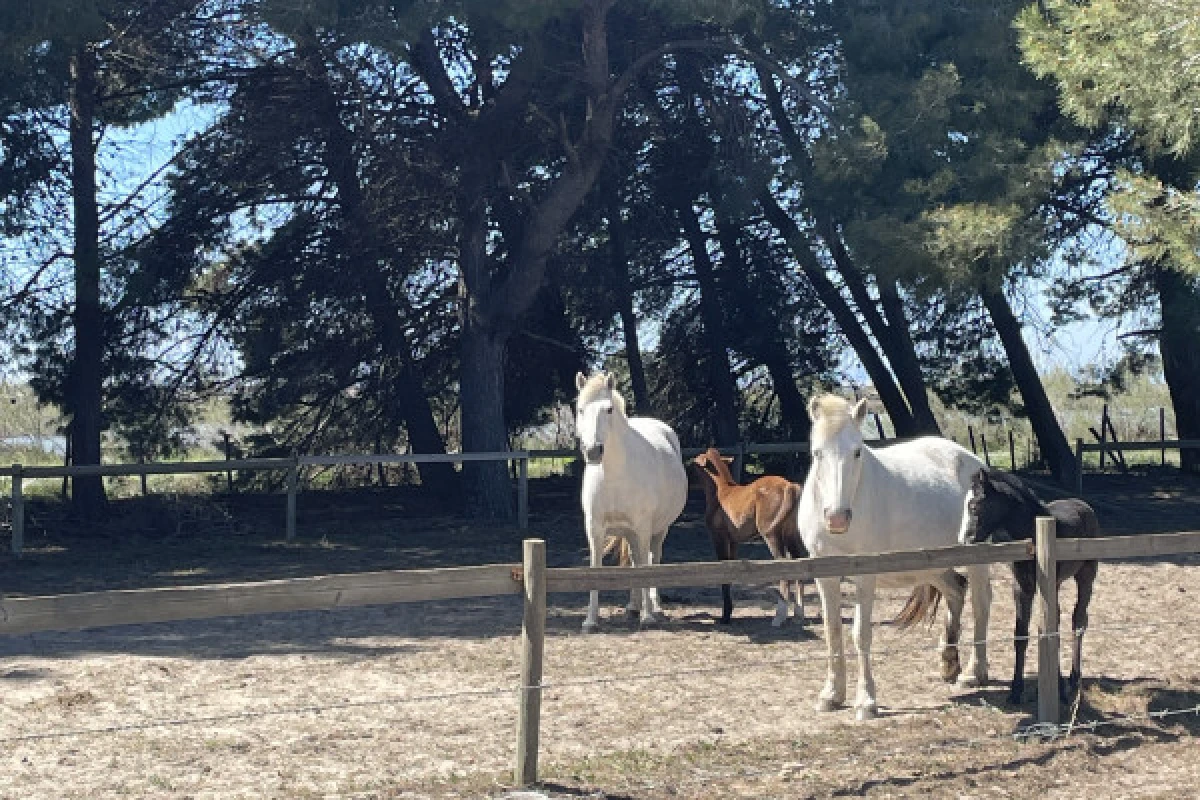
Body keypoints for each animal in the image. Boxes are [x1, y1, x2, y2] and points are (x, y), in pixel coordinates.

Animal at [576, 371, 691, 633]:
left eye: (608, 409)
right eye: (580, 409)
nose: (593, 451)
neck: (615, 474)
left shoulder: (643, 526)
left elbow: (645, 568)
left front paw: (647, 617)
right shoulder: (594, 528)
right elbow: (597, 569)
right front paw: (590, 620)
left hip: (658, 529)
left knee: (652, 558)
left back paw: (654, 607)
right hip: (630, 533)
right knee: (635, 559)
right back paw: (633, 606)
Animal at [796, 398, 993, 724]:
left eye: (857, 451)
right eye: (816, 453)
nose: (837, 518)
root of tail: (974, 461)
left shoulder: (865, 576)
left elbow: (860, 634)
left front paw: (866, 701)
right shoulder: (825, 575)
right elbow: (832, 630)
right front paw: (831, 695)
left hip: (976, 558)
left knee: (981, 603)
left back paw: (972, 672)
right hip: (932, 565)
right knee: (955, 591)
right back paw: (948, 662)